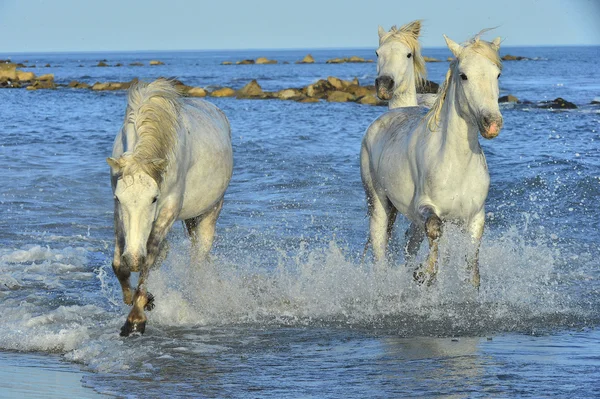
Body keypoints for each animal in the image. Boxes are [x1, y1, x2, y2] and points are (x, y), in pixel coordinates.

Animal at [107, 79, 232, 336]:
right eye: (119, 199)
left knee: (198, 259)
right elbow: (118, 264)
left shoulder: (169, 209)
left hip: (211, 211)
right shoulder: (117, 210)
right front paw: (133, 297)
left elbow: (151, 255)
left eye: (154, 199)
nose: (133, 258)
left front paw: (136, 317)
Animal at [360, 31, 506, 288]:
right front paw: (424, 273)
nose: (492, 124)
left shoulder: (475, 216)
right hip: (377, 204)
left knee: (410, 242)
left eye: (497, 73)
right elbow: (434, 228)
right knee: (379, 247)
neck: (456, 164)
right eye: (463, 75)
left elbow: (471, 265)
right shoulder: (425, 207)